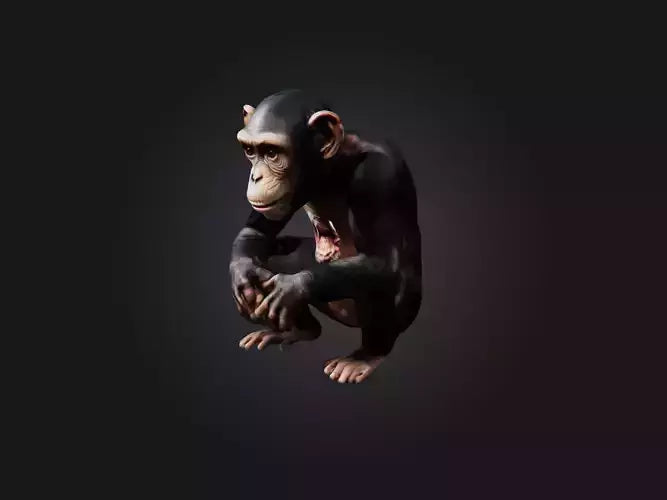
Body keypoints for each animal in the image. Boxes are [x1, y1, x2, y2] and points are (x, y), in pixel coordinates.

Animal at [229, 89, 422, 384]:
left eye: (272, 152)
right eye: (250, 151)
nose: (255, 176)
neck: (330, 165)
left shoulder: (380, 171)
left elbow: (384, 261)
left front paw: (292, 287)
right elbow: (258, 231)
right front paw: (242, 274)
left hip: (401, 313)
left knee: (382, 282)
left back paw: (366, 356)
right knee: (275, 251)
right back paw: (300, 330)